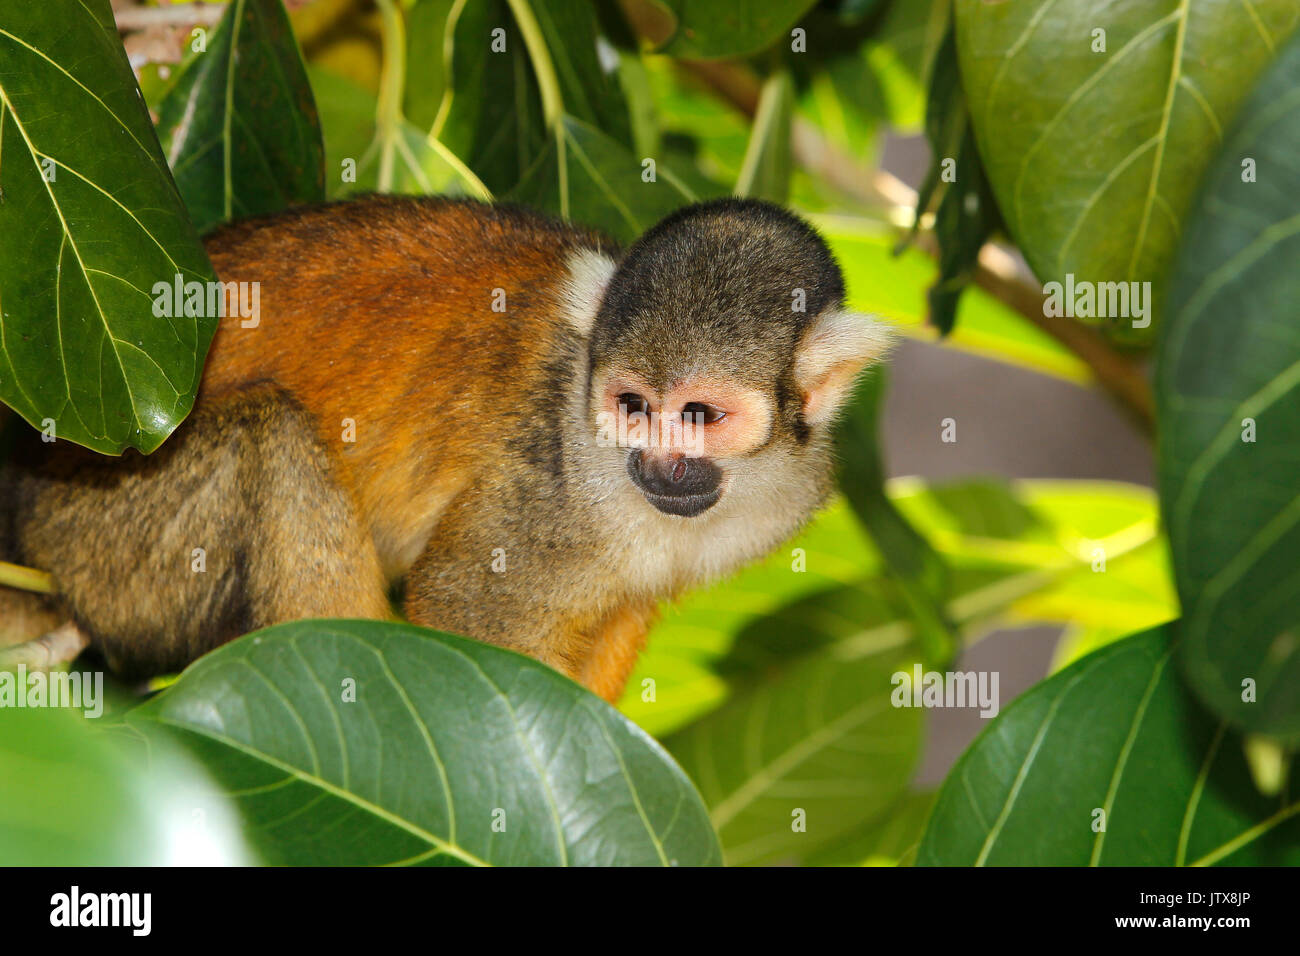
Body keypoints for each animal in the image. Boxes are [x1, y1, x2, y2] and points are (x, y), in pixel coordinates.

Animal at [0, 196, 889, 702]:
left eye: (698, 416)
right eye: (632, 408)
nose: (657, 465)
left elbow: (622, 614)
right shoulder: (552, 483)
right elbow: (472, 611)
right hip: (104, 542)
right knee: (269, 432)